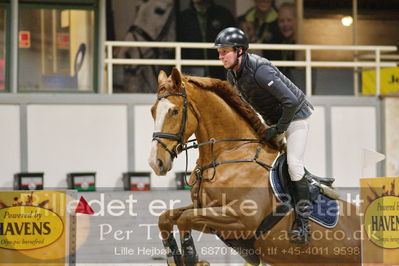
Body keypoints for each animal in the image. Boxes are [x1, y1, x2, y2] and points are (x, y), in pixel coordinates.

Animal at [150, 67, 362, 264]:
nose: (155, 162)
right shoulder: (206, 212)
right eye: (152, 111)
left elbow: (185, 219)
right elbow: (167, 218)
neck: (229, 153)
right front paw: (173, 257)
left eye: (174, 111)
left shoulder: (241, 218)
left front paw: (192, 258)